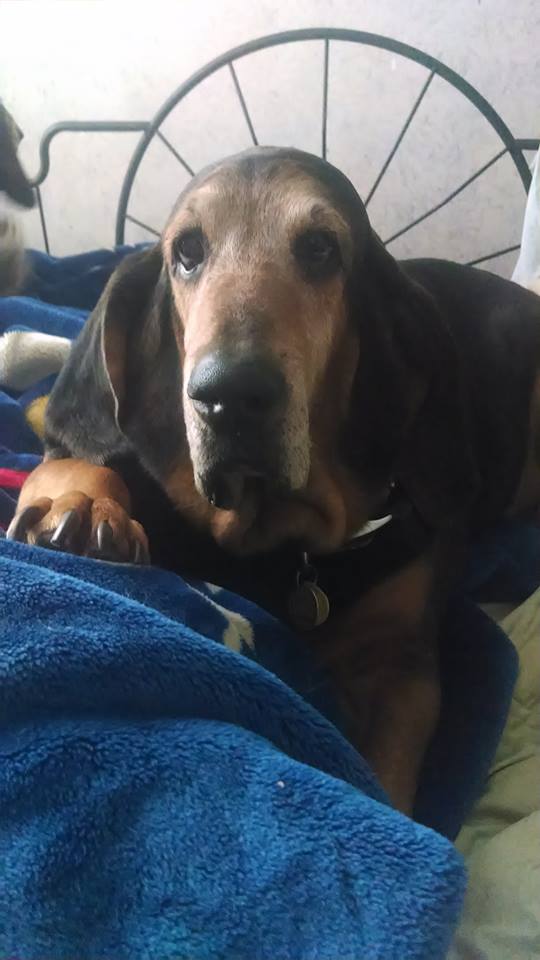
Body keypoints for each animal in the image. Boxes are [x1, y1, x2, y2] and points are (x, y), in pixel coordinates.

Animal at [7, 148, 540, 816]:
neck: (275, 537)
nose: (228, 396)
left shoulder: (403, 669)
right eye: (187, 250)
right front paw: (79, 512)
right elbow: (72, 459)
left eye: (319, 248)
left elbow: (386, 781)